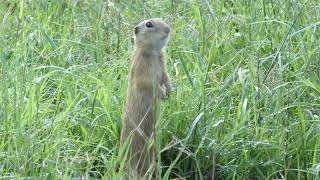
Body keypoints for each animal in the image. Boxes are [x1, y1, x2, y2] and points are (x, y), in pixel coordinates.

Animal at [120, 17, 172, 178]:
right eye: (149, 24)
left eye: (162, 19)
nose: (169, 29)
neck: (153, 53)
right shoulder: (141, 67)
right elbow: (148, 82)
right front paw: (161, 92)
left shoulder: (163, 64)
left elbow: (166, 77)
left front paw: (169, 91)